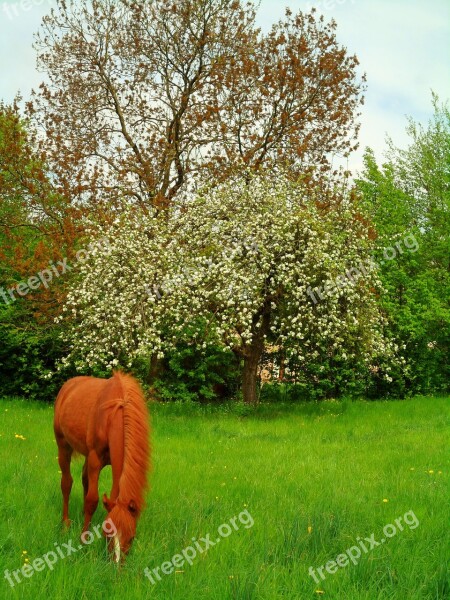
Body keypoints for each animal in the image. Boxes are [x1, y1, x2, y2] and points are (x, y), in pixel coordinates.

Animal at [53, 370, 150, 564]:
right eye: (107, 534)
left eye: (132, 537)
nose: (117, 564)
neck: (113, 415)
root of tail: (68, 385)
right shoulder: (95, 459)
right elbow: (92, 500)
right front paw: (83, 540)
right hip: (63, 445)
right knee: (66, 483)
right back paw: (66, 523)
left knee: (84, 479)